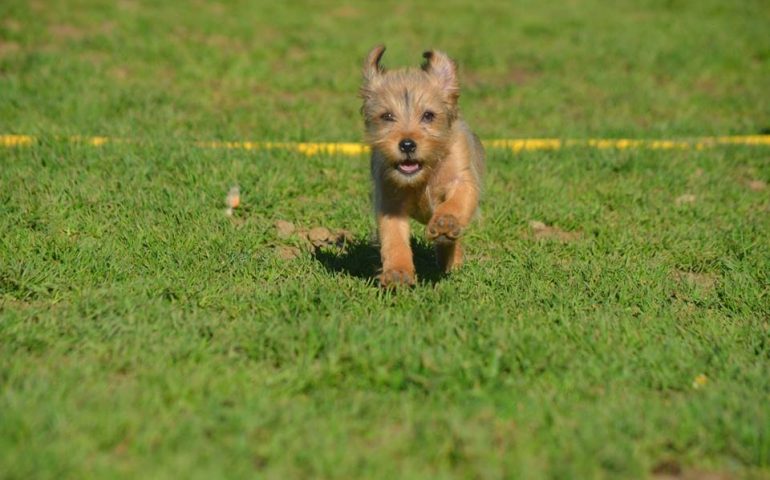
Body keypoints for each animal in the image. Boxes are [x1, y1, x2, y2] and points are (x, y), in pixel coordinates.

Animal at [358, 45, 480, 286]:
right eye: (387, 116)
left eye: (428, 115)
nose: (407, 144)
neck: (425, 174)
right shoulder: (390, 200)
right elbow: (393, 237)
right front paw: (397, 271)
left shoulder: (462, 178)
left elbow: (457, 202)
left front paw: (445, 222)